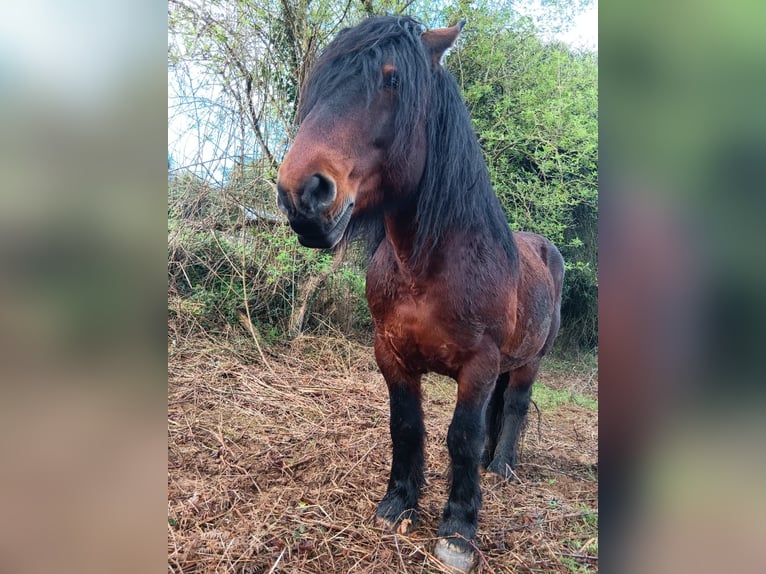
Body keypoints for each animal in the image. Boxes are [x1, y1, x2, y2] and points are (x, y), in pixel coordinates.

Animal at [276, 16, 564, 573]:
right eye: (323, 82)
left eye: (392, 80)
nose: (301, 193)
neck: (428, 265)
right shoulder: (391, 354)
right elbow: (407, 426)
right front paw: (398, 504)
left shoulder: (478, 365)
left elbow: (462, 438)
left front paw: (458, 530)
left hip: (529, 361)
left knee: (516, 407)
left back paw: (502, 467)